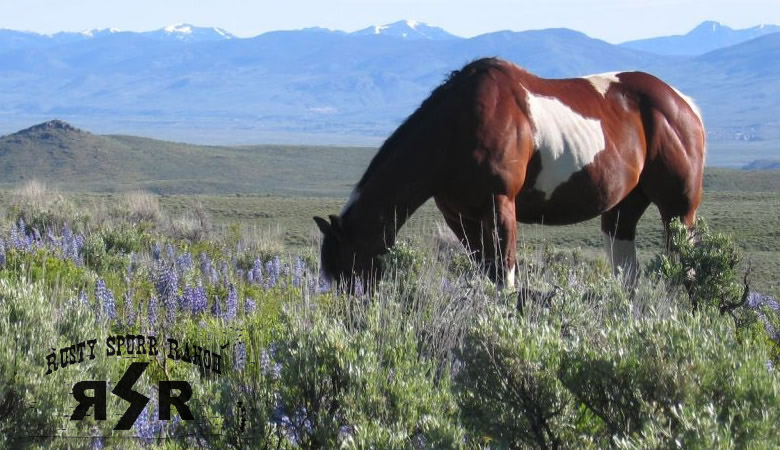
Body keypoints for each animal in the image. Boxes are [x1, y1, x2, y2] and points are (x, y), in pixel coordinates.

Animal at [312, 57, 708, 288]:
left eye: (352, 267)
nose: (354, 320)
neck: (456, 127)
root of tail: (684, 104)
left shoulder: (501, 206)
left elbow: (505, 275)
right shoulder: (461, 217)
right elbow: (487, 273)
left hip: (678, 210)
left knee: (685, 270)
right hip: (622, 211)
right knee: (627, 274)